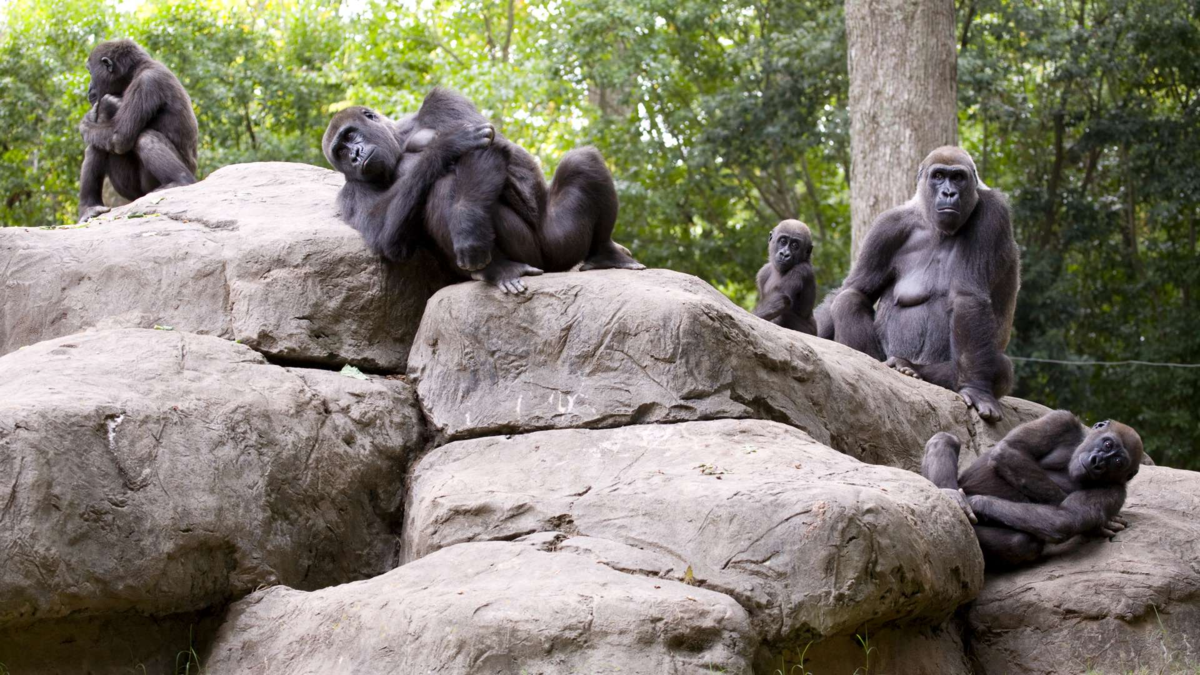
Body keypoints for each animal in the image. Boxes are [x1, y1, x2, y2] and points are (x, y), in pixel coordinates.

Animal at [77, 38, 196, 220]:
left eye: (90, 73)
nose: (89, 87)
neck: (134, 71)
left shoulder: (147, 83)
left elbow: (118, 137)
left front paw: (85, 122)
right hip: (133, 193)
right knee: (96, 145)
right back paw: (89, 207)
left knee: (144, 138)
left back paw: (180, 180)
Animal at [321, 87, 648, 291]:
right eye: (340, 151)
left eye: (350, 135)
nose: (355, 155)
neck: (399, 139)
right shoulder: (349, 195)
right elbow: (385, 238)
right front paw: (447, 145)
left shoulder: (441, 99)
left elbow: (487, 150)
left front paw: (466, 222)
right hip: (533, 254)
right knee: (438, 188)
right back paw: (498, 269)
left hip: (554, 245)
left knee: (583, 162)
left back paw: (605, 252)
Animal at [816, 145, 1022, 420]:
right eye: (938, 176)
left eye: (958, 177)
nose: (948, 193)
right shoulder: (887, 227)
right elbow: (854, 287)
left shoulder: (993, 212)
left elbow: (968, 297)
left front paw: (976, 388)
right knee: (849, 300)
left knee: (1001, 366)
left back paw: (912, 369)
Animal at [916, 410, 1142, 566]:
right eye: (1107, 444)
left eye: (1118, 463)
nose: (1098, 462)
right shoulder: (1061, 420)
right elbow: (1010, 451)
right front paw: (1100, 526)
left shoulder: (1115, 491)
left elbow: (1066, 518)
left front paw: (977, 502)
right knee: (945, 439)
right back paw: (952, 497)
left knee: (1022, 542)